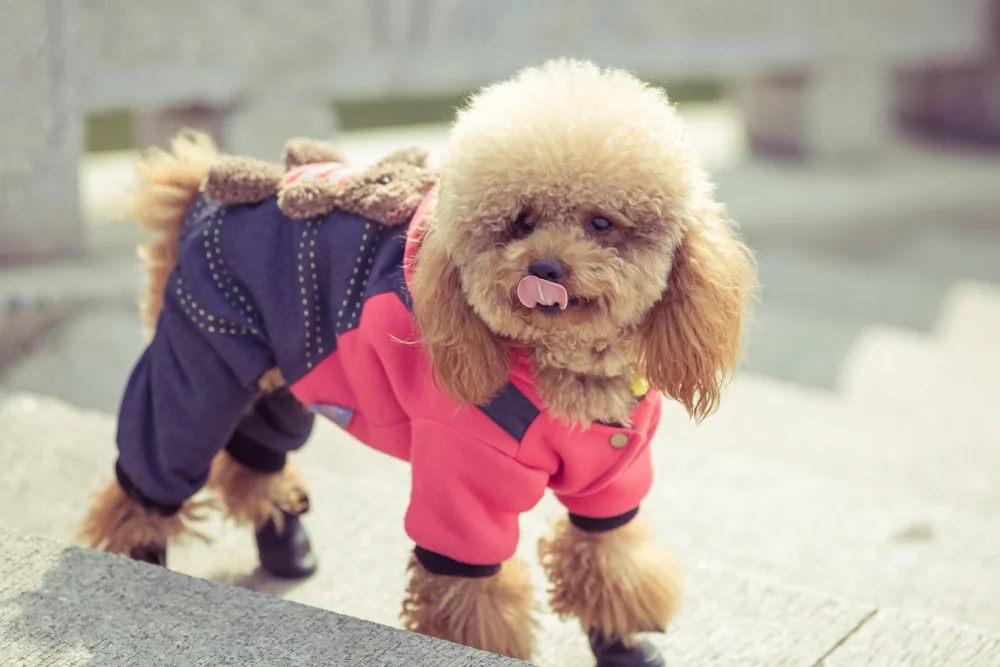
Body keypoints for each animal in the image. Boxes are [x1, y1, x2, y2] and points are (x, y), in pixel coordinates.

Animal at [78, 60, 752, 664]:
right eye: (519, 222)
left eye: (601, 223)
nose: (545, 269)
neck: (564, 373)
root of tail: (200, 196)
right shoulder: (461, 479)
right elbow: (471, 593)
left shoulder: (612, 479)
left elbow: (610, 559)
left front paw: (621, 643)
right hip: (200, 364)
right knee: (157, 466)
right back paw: (140, 558)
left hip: (284, 373)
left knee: (255, 456)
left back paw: (285, 545)